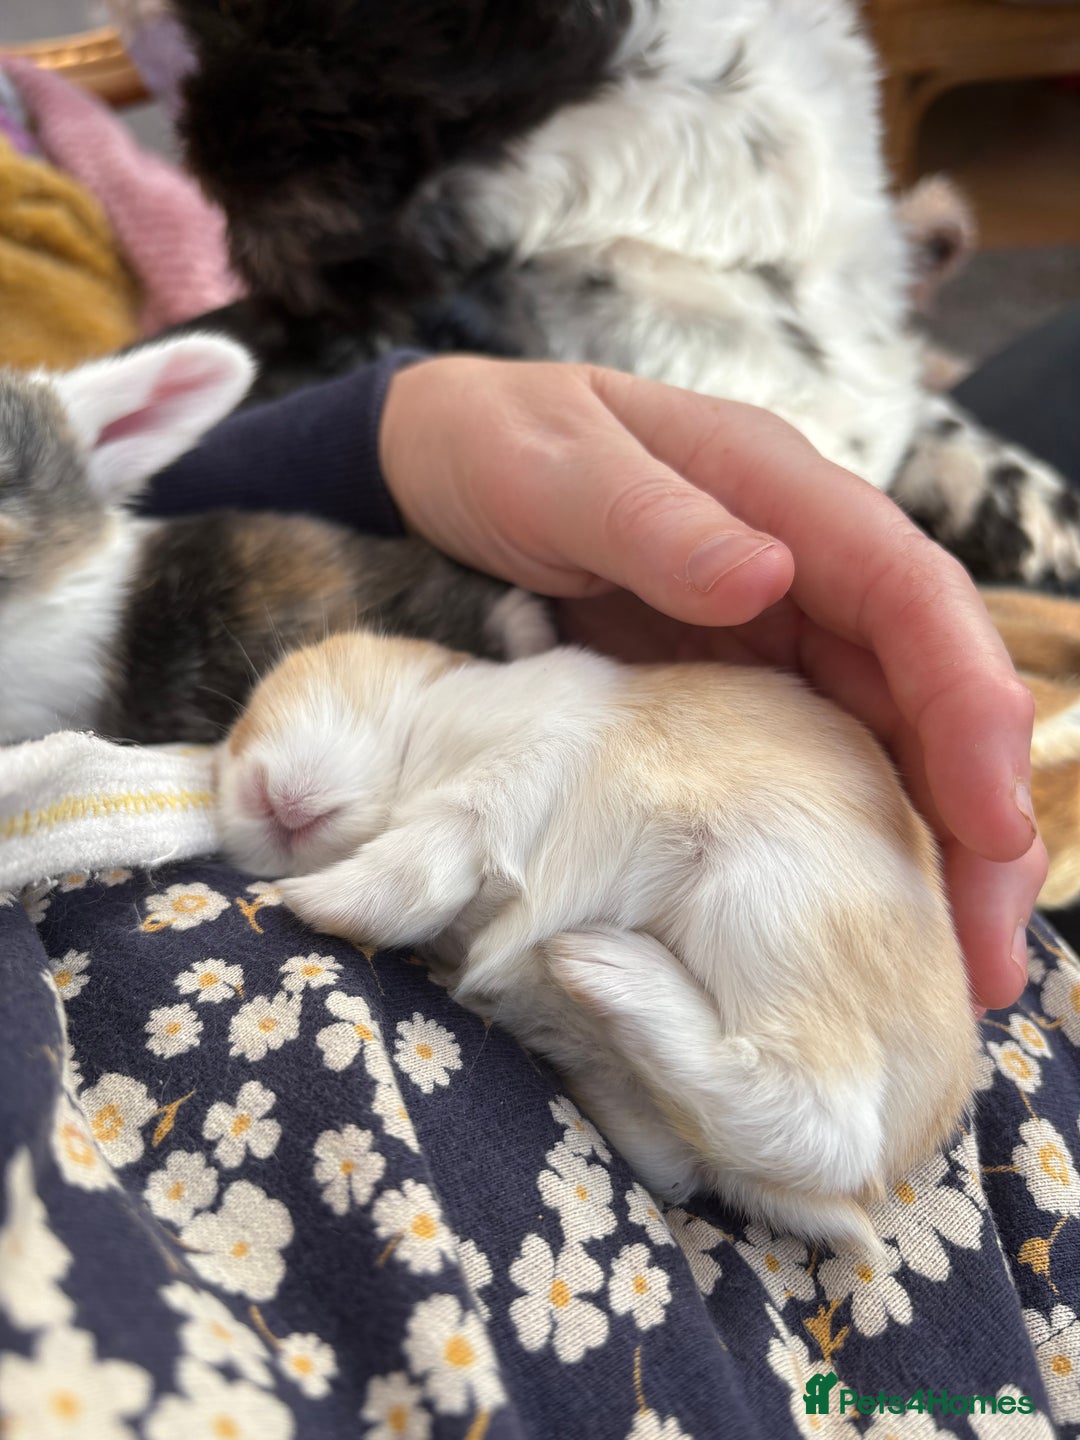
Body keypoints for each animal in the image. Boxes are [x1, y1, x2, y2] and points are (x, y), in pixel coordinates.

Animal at [217, 629, 977, 1248]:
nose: (241, 790)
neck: (417, 749)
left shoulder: (524, 761)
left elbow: (432, 847)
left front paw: (313, 898)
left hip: (766, 908)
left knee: (826, 1115)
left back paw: (602, 964)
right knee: (697, 1159)